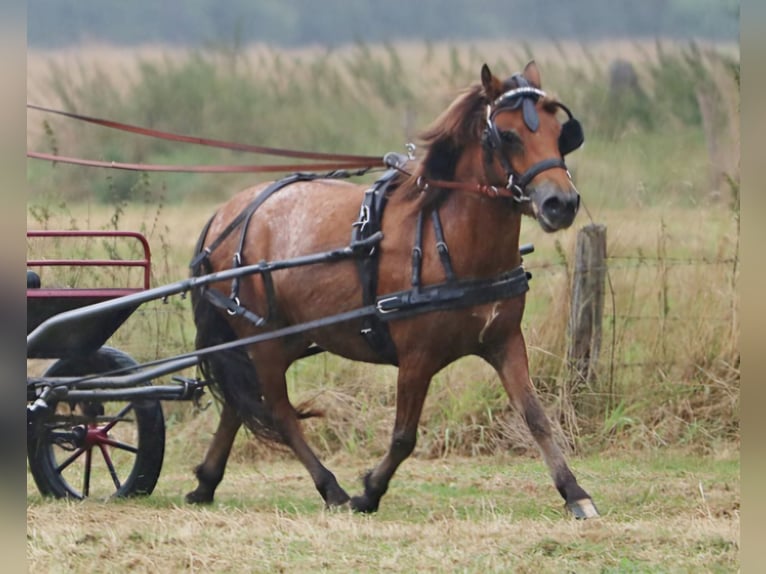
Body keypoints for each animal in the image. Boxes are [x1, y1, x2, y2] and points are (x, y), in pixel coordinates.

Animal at [184, 60, 600, 520]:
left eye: (559, 132)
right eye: (507, 135)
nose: (561, 203)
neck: (449, 240)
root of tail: (226, 214)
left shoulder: (504, 340)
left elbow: (535, 416)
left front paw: (574, 491)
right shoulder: (416, 356)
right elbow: (404, 436)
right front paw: (369, 491)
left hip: (290, 336)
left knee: (237, 403)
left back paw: (207, 481)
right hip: (263, 339)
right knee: (277, 411)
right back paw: (331, 488)